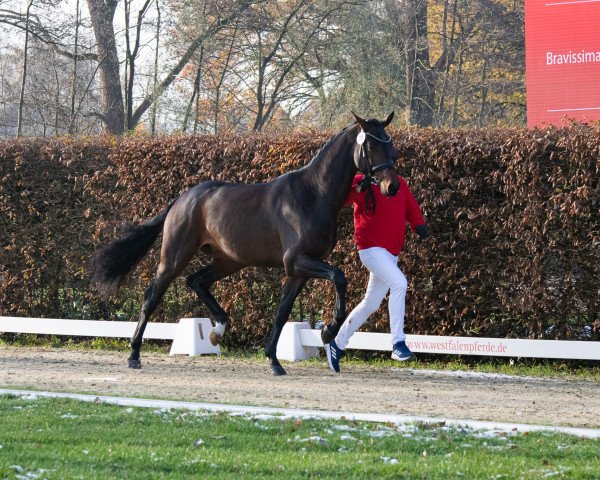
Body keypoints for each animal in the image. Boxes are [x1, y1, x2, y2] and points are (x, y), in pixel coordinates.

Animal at [91, 112, 400, 376]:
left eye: (390, 143)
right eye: (370, 145)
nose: (392, 186)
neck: (313, 194)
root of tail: (182, 198)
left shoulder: (298, 270)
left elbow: (282, 312)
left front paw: (274, 360)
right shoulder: (297, 261)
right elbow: (339, 276)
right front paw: (328, 330)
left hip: (229, 260)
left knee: (197, 281)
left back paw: (218, 329)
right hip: (175, 256)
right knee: (152, 296)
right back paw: (134, 355)